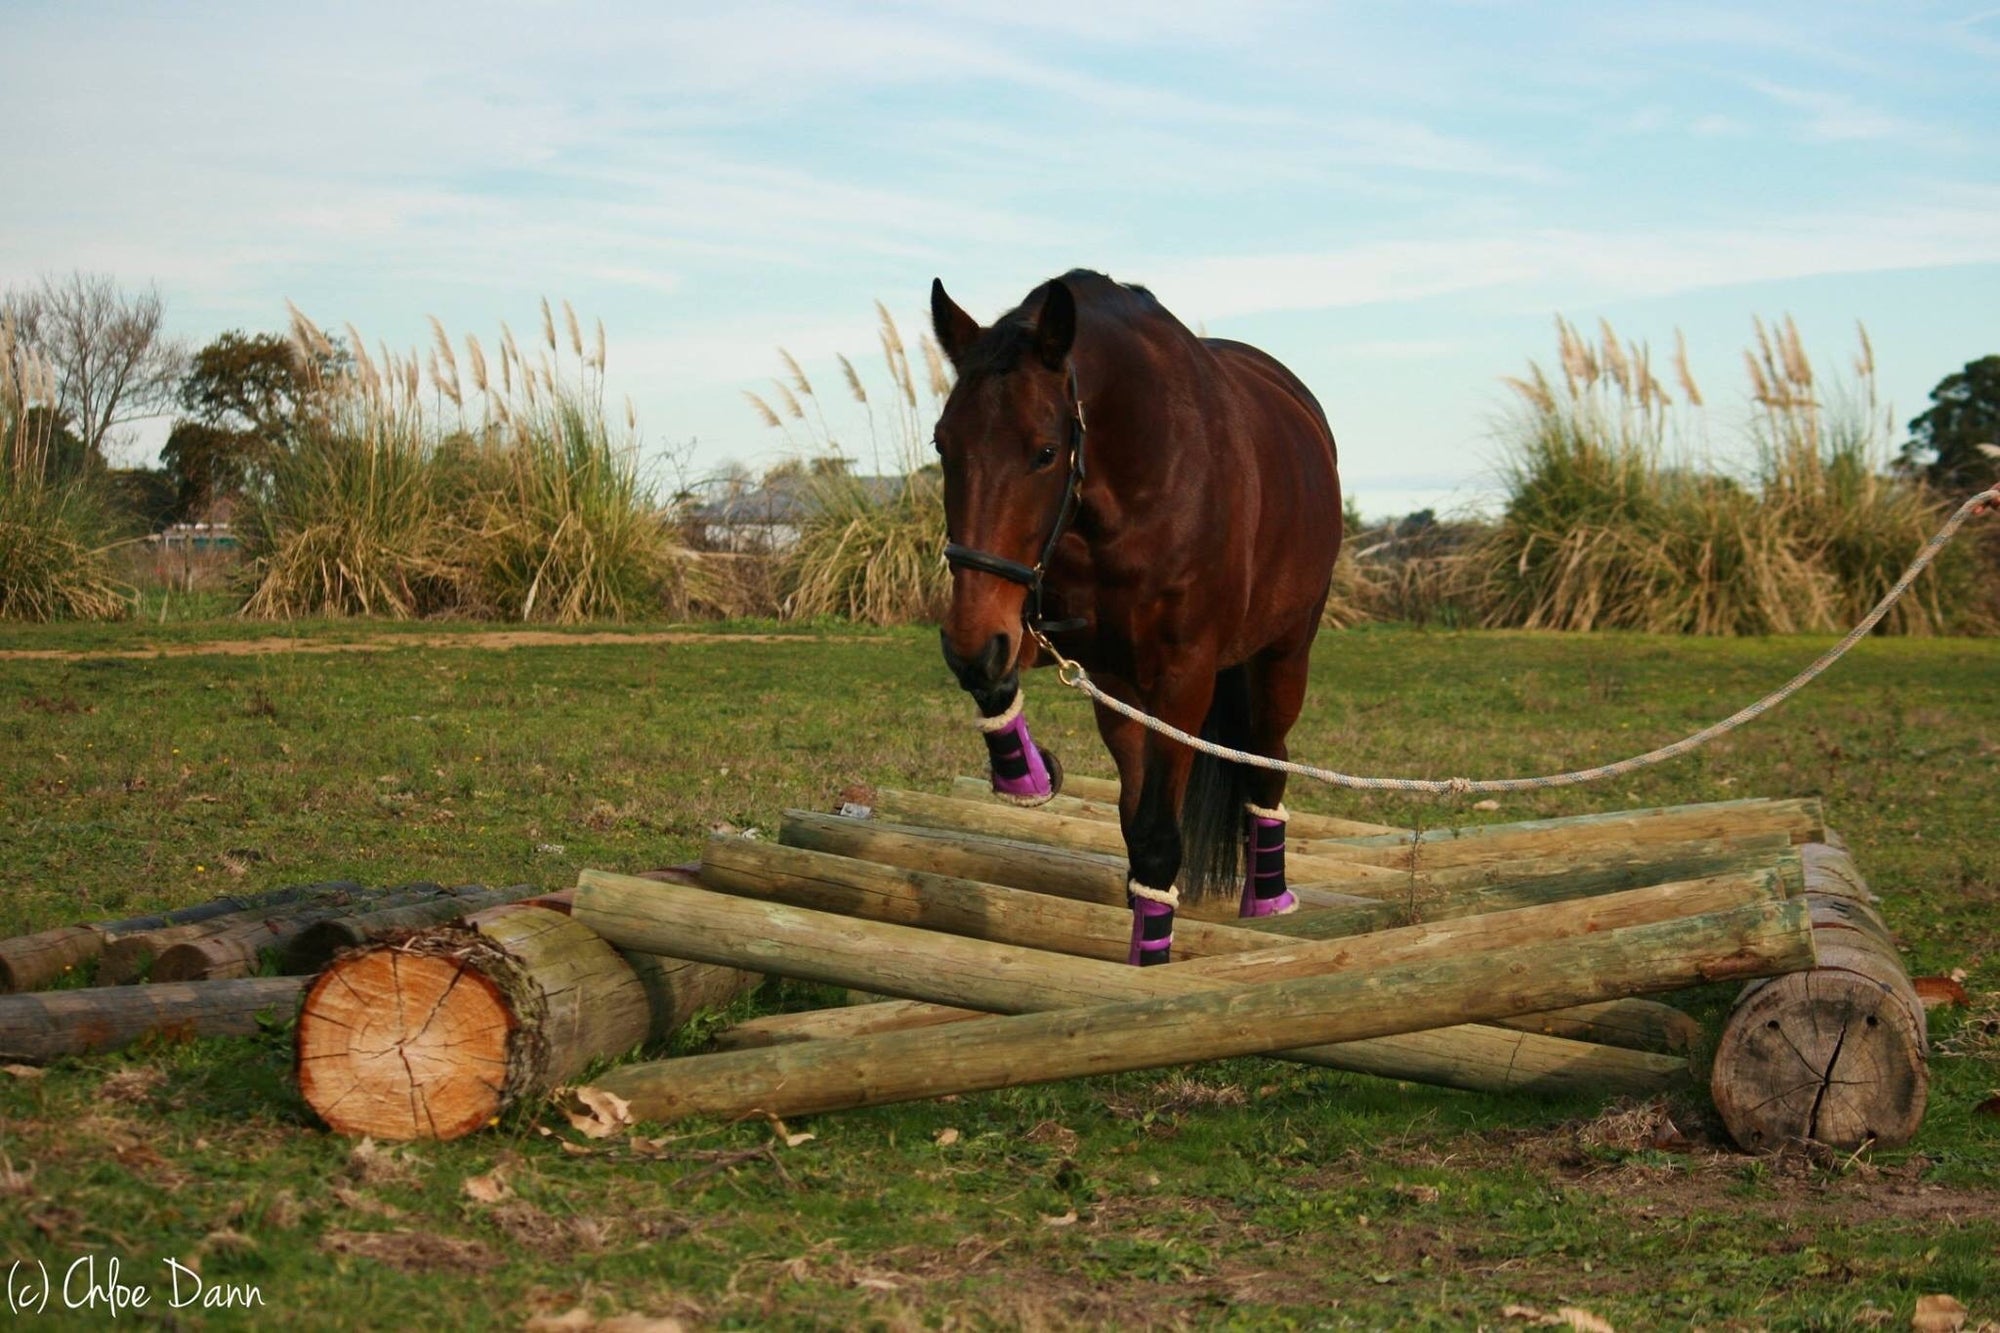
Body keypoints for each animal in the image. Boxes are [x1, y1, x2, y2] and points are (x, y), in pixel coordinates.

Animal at [932, 264, 1344, 960]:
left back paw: (1268, 901)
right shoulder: (1060, 641)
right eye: (941, 445)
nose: (969, 641)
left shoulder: (1184, 677)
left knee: (1267, 762)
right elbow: (999, 681)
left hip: (1286, 653)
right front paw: (1028, 777)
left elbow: (1156, 836)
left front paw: (1146, 966)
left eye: (1046, 452)